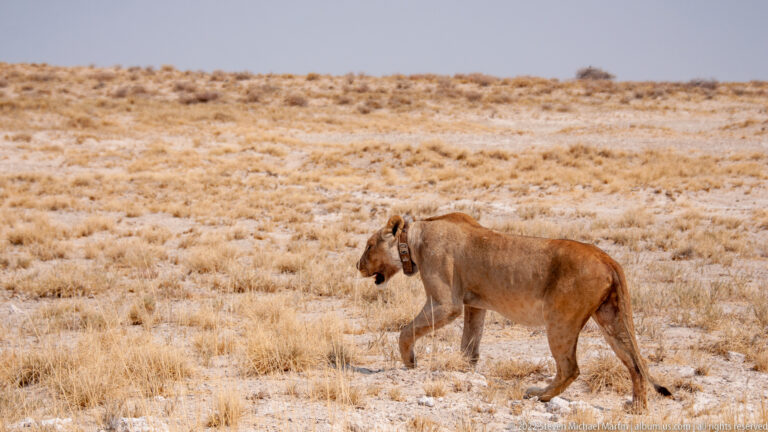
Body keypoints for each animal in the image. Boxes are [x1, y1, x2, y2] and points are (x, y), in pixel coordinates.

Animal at [356, 212, 671, 411]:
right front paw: (465, 373)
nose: (357, 266)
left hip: (561, 319)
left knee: (570, 367)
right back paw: (638, 409)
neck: (414, 239)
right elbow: (469, 344)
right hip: (611, 317)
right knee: (635, 363)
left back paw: (539, 395)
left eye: (369, 245)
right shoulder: (474, 304)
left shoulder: (446, 304)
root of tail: (608, 258)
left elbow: (406, 331)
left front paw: (409, 362)